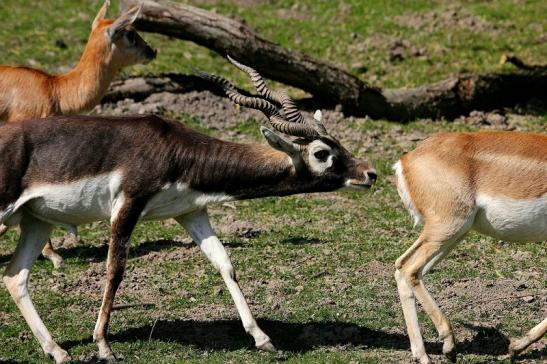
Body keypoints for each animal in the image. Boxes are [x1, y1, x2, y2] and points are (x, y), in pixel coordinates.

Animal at [0, 58, 376, 362]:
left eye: (338, 143)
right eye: (321, 153)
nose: (369, 173)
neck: (175, 149)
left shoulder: (191, 212)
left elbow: (225, 263)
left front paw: (262, 338)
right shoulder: (128, 205)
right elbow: (115, 270)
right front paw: (104, 347)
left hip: (37, 222)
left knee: (15, 277)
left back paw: (58, 351)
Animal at [396, 132, 544, 364]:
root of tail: (406, 159)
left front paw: (516, 346)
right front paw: (516, 347)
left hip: (453, 234)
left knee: (403, 268)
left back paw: (422, 355)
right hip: (449, 227)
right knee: (409, 268)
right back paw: (448, 346)